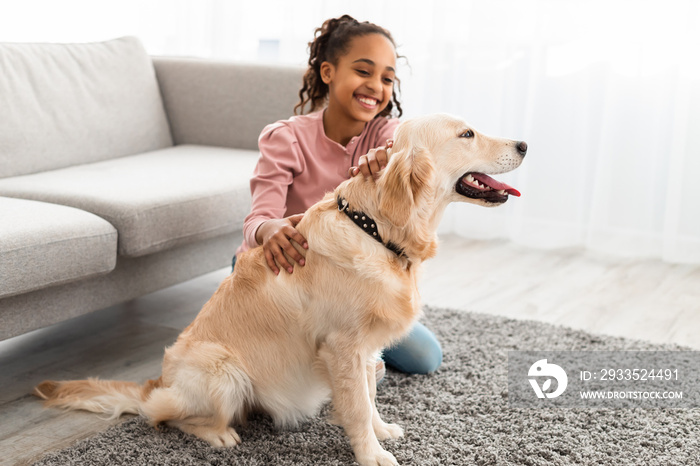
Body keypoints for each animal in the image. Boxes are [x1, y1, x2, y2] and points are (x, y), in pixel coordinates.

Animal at [34, 114, 524, 466]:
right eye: (467, 133)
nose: (524, 144)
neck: (374, 229)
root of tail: (158, 379)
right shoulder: (342, 347)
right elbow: (357, 406)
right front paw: (373, 454)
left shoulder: (366, 349)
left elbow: (369, 395)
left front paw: (382, 431)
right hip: (224, 371)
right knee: (162, 415)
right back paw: (219, 433)